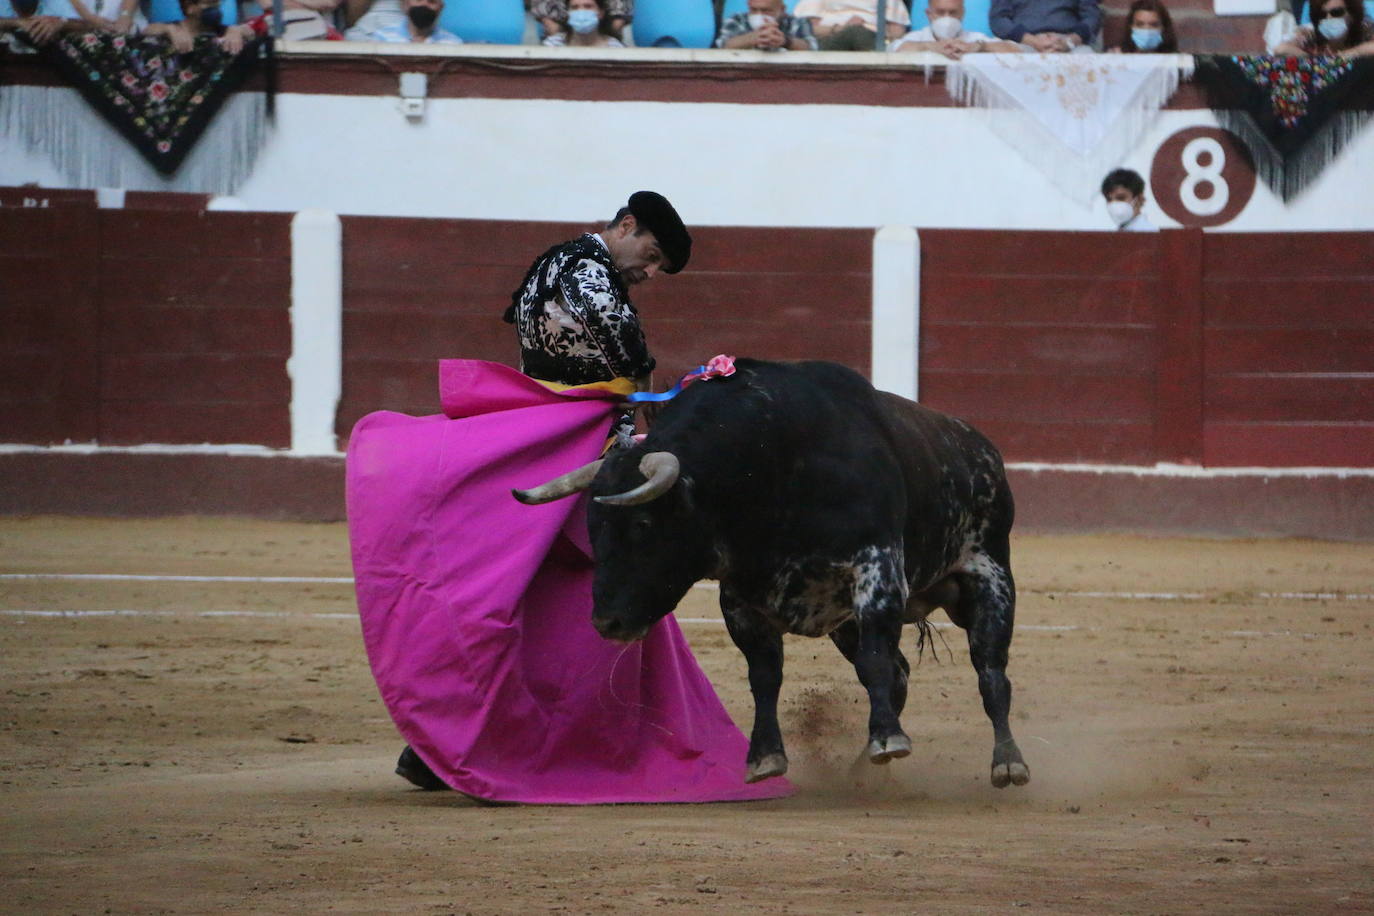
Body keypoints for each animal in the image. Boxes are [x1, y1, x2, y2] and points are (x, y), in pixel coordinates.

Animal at [516, 357, 1033, 791]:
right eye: (593, 529)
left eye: (643, 525)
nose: (608, 623)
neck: (767, 467)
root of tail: (982, 448)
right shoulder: (741, 599)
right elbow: (765, 674)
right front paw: (764, 757)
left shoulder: (877, 571)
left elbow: (875, 662)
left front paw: (890, 739)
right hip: (846, 620)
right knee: (903, 672)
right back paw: (862, 769)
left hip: (990, 577)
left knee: (990, 672)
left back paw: (1008, 763)